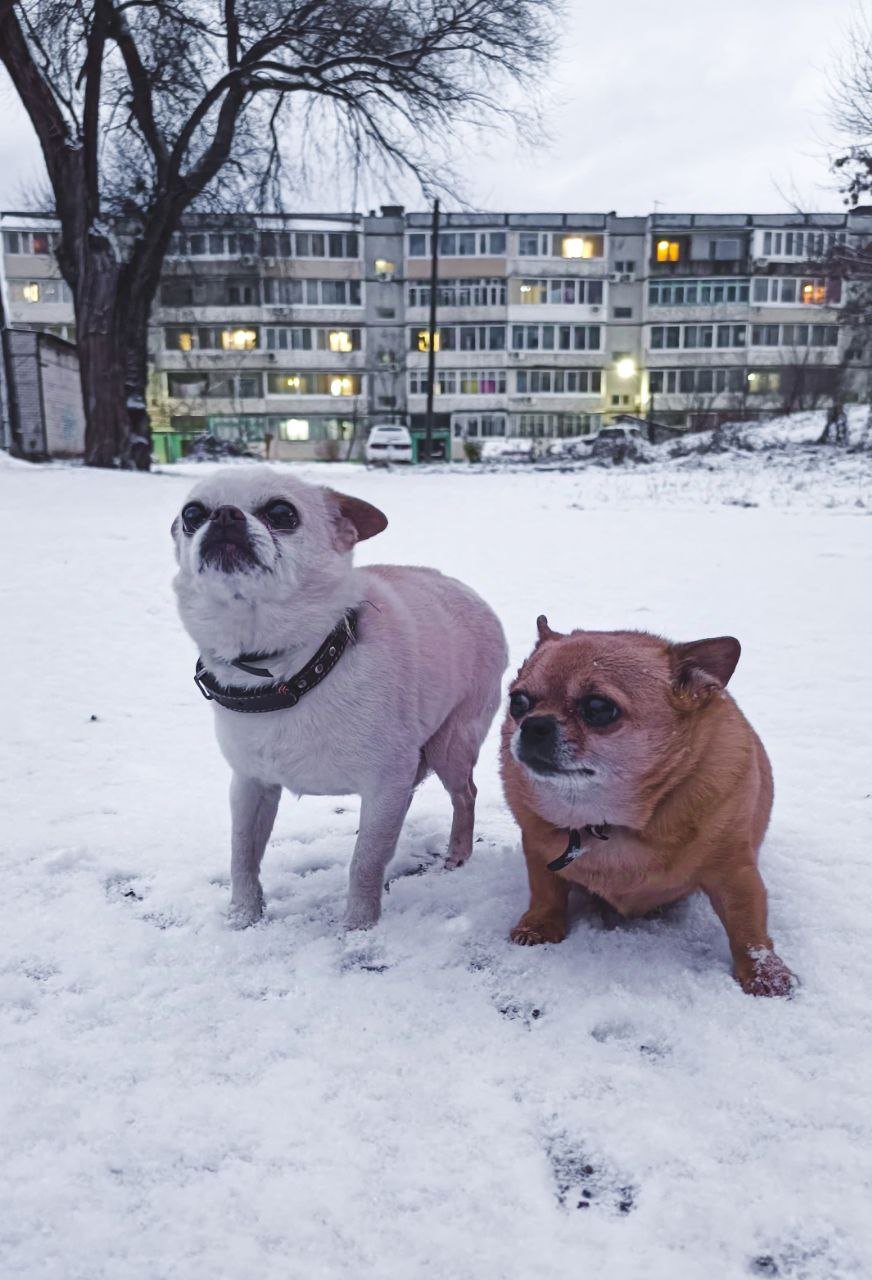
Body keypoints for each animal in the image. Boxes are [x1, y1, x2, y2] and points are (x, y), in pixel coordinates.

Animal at [170, 471, 507, 931]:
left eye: (282, 513)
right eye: (191, 514)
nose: (223, 515)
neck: (287, 671)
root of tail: (471, 594)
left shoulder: (385, 782)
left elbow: (363, 863)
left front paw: (359, 927)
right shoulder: (250, 785)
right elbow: (242, 855)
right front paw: (243, 918)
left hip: (450, 746)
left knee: (464, 795)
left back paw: (457, 855)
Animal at [499, 619, 793, 998]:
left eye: (598, 708)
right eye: (518, 701)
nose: (533, 723)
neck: (605, 821)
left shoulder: (734, 871)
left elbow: (747, 924)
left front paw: (763, 972)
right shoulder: (539, 851)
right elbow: (545, 890)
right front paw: (539, 925)